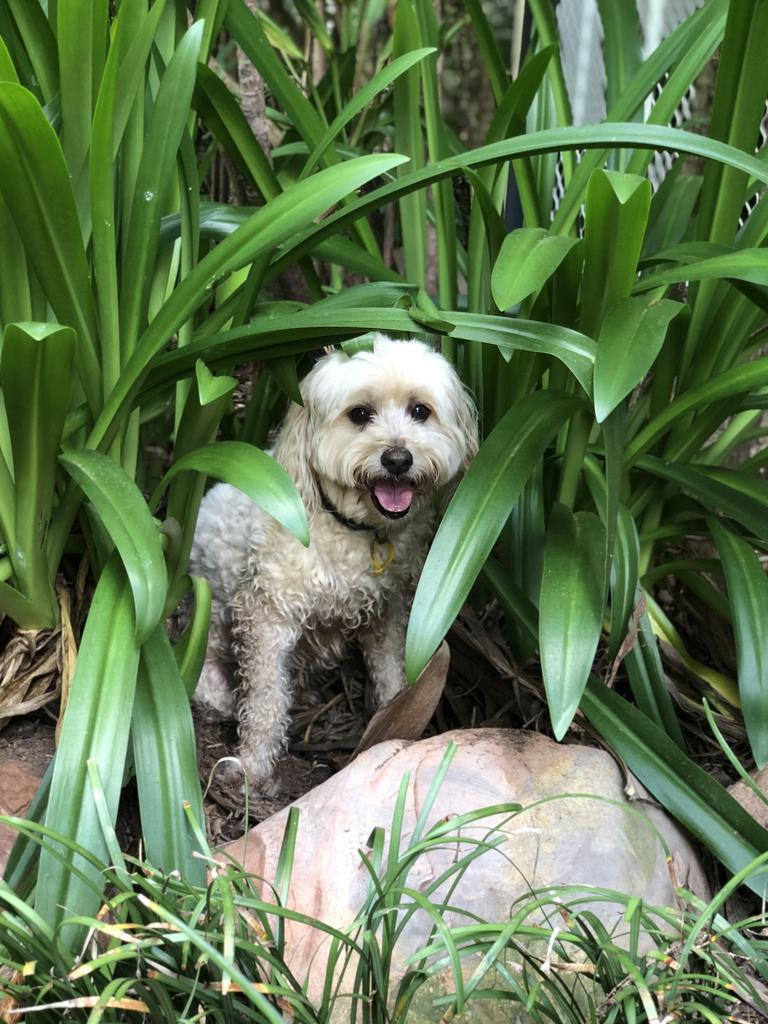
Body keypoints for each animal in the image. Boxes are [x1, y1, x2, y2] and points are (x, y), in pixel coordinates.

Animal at [189, 335, 479, 790]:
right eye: (359, 414)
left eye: (420, 410)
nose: (398, 459)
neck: (350, 528)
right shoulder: (266, 616)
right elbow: (266, 699)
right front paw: (253, 766)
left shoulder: (388, 611)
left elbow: (391, 673)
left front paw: (397, 716)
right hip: (212, 615)